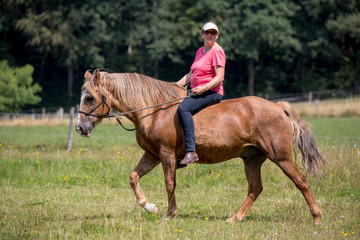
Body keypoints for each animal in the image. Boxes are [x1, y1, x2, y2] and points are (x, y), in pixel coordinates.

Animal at [75, 69, 326, 223]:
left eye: (89, 98)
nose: (80, 128)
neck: (155, 109)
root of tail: (278, 107)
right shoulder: (152, 155)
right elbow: (133, 177)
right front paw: (150, 206)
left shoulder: (166, 154)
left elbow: (169, 184)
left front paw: (169, 214)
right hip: (253, 159)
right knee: (255, 188)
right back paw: (235, 218)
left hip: (281, 157)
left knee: (301, 181)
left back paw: (316, 217)